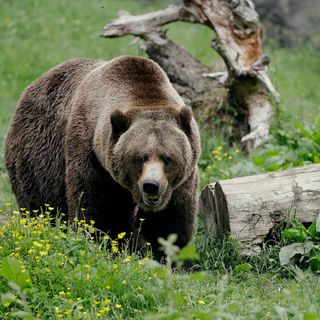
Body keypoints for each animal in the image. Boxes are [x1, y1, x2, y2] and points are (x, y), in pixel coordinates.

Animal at [4, 55, 200, 258]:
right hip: (37, 160)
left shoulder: (180, 182)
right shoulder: (92, 157)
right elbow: (101, 212)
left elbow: (169, 221)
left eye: (167, 158)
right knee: (40, 205)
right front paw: (116, 247)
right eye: (139, 157)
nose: (151, 185)